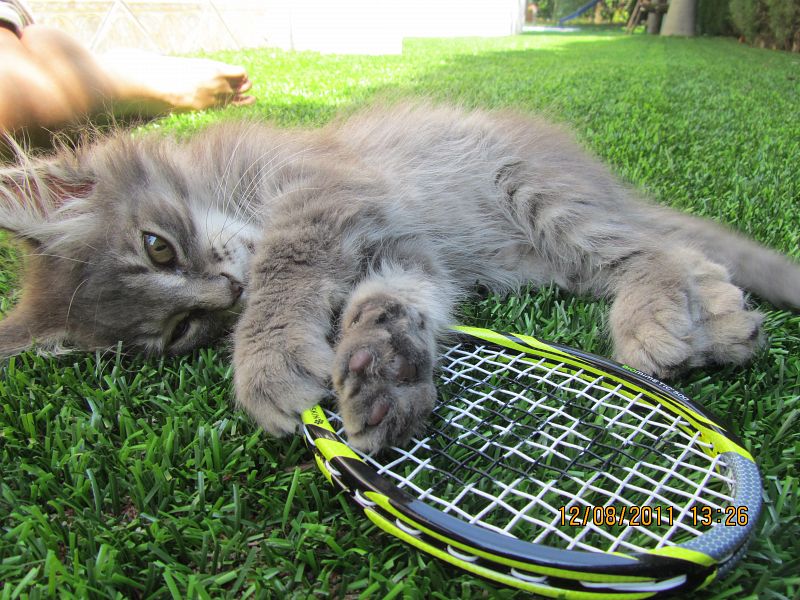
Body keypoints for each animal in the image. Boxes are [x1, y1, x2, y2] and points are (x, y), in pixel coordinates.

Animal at [1, 103, 800, 450]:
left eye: (158, 247)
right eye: (180, 329)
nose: (225, 294)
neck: (222, 187)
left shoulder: (321, 194)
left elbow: (284, 270)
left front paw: (265, 358)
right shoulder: (408, 252)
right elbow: (400, 298)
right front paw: (387, 365)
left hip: (544, 202)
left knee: (652, 252)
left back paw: (655, 324)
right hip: (547, 256)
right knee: (684, 253)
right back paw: (724, 320)